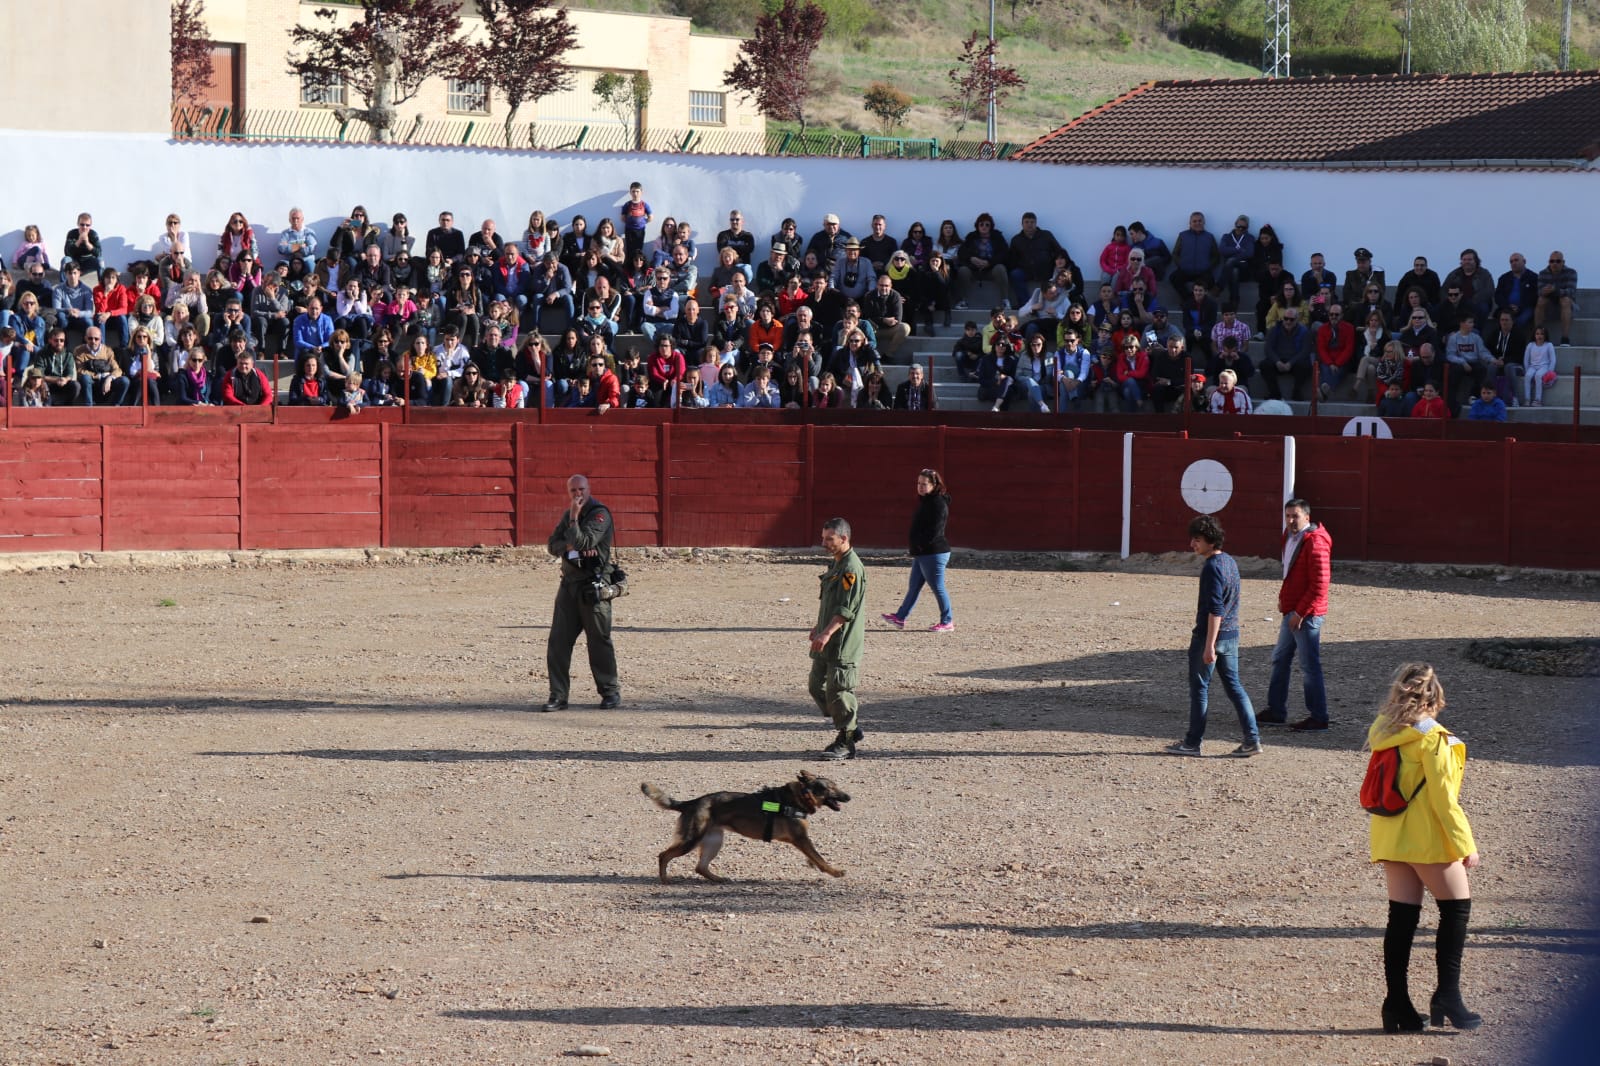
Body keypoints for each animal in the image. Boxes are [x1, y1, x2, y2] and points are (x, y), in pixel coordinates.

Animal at [643, 768, 857, 877]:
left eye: (836, 786)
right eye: (830, 788)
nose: (849, 797)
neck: (801, 796)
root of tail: (692, 802)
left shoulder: (802, 841)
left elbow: (814, 856)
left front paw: (815, 865)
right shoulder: (801, 838)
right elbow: (819, 857)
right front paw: (834, 871)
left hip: (714, 841)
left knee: (700, 867)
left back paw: (720, 880)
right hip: (691, 840)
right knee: (663, 856)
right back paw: (664, 880)